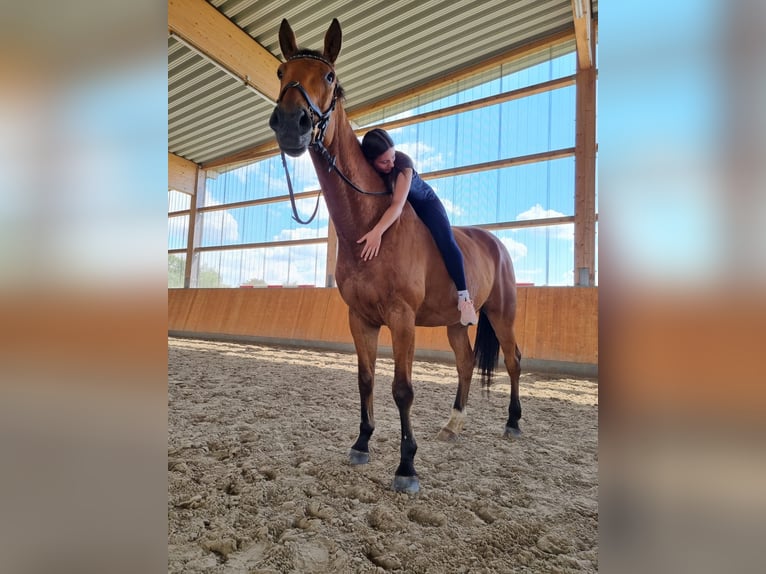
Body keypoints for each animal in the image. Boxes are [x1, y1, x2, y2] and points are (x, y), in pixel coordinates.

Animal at [270, 18, 520, 496]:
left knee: (514, 362)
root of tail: (495, 243)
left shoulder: (402, 318)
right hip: (456, 323)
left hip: (502, 313)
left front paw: (407, 467)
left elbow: (402, 389)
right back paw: (452, 426)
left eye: (329, 76)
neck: (370, 226)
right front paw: (362, 444)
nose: (292, 124)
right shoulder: (361, 319)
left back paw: (514, 424)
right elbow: (366, 379)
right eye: (280, 72)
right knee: (465, 364)